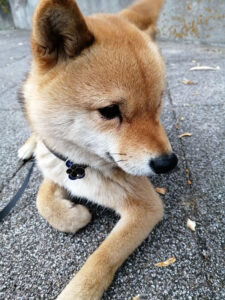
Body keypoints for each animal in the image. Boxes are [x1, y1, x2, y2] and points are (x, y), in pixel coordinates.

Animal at [18, 0, 178, 298]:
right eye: (109, 111)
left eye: (159, 103)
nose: (168, 163)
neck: (81, 165)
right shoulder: (56, 161)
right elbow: (41, 201)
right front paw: (73, 215)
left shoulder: (146, 207)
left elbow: (101, 258)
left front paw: (77, 291)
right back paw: (28, 146)